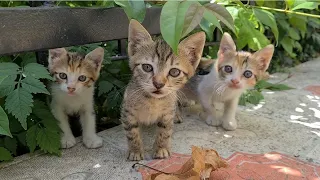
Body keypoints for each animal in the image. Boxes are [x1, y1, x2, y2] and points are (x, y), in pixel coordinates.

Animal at [120, 19, 205, 160]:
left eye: (174, 72)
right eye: (147, 67)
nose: (158, 84)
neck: (153, 101)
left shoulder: (167, 113)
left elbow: (165, 130)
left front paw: (161, 148)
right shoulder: (127, 110)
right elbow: (131, 131)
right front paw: (135, 150)